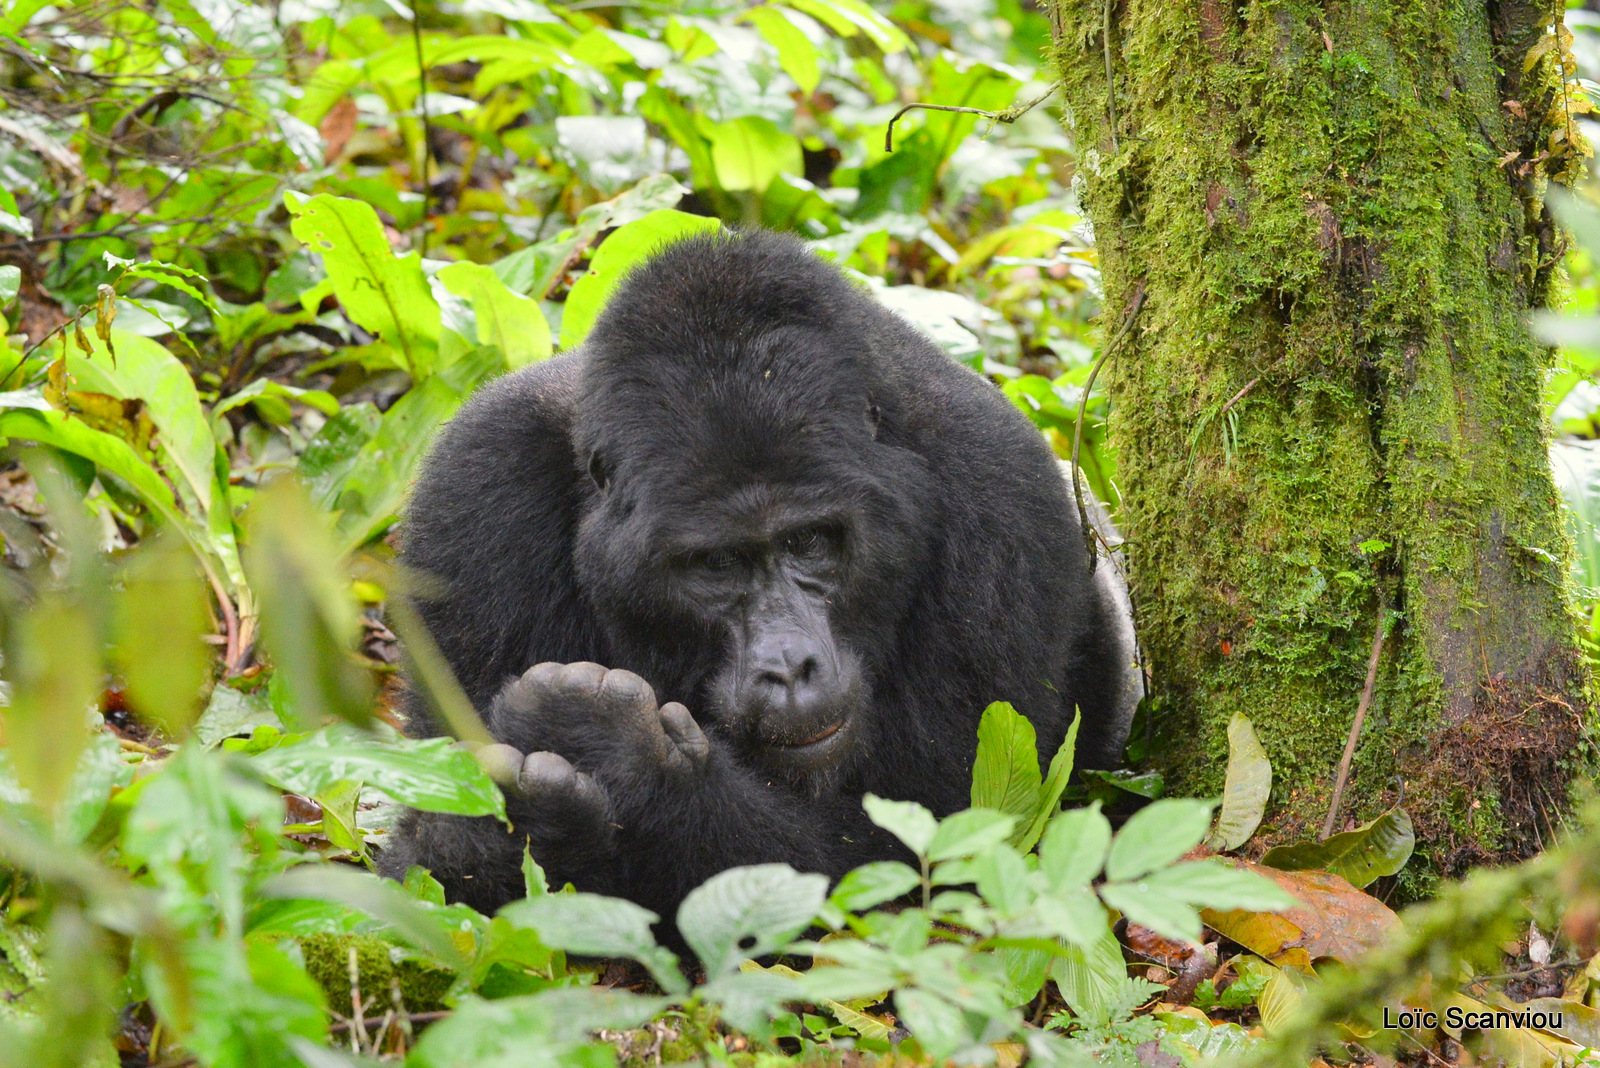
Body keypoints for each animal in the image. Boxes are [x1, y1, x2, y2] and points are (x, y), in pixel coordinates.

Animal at [380, 231, 1145, 927]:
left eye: (809, 541)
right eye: (716, 564)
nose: (790, 666)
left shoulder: (1005, 490)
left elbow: (930, 855)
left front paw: (626, 762)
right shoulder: (474, 481)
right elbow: (422, 867)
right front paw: (524, 817)